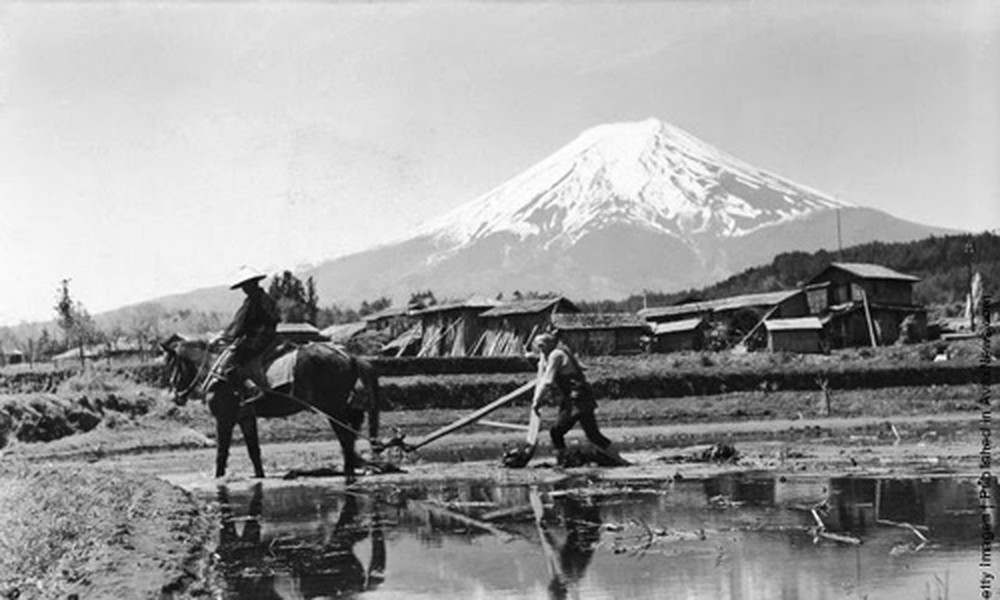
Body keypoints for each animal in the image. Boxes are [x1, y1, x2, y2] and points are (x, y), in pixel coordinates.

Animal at [160, 336, 382, 480]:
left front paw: (218, 477)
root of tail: (349, 356)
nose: (175, 396)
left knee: (346, 439)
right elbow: (254, 451)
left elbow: (221, 452)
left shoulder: (224, 419)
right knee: (351, 434)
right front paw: (260, 475)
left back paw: (349, 471)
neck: (217, 372)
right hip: (339, 408)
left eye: (171, 365)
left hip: (332, 409)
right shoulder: (245, 418)